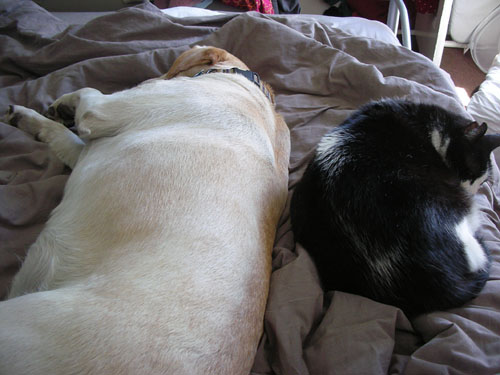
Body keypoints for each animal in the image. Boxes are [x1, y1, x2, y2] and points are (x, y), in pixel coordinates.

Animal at [0, 46, 292, 375]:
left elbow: (86, 92)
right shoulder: (86, 148)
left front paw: (61, 103)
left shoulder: (100, 111)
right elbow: (62, 135)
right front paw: (35, 116)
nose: (147, 79)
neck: (250, 89)